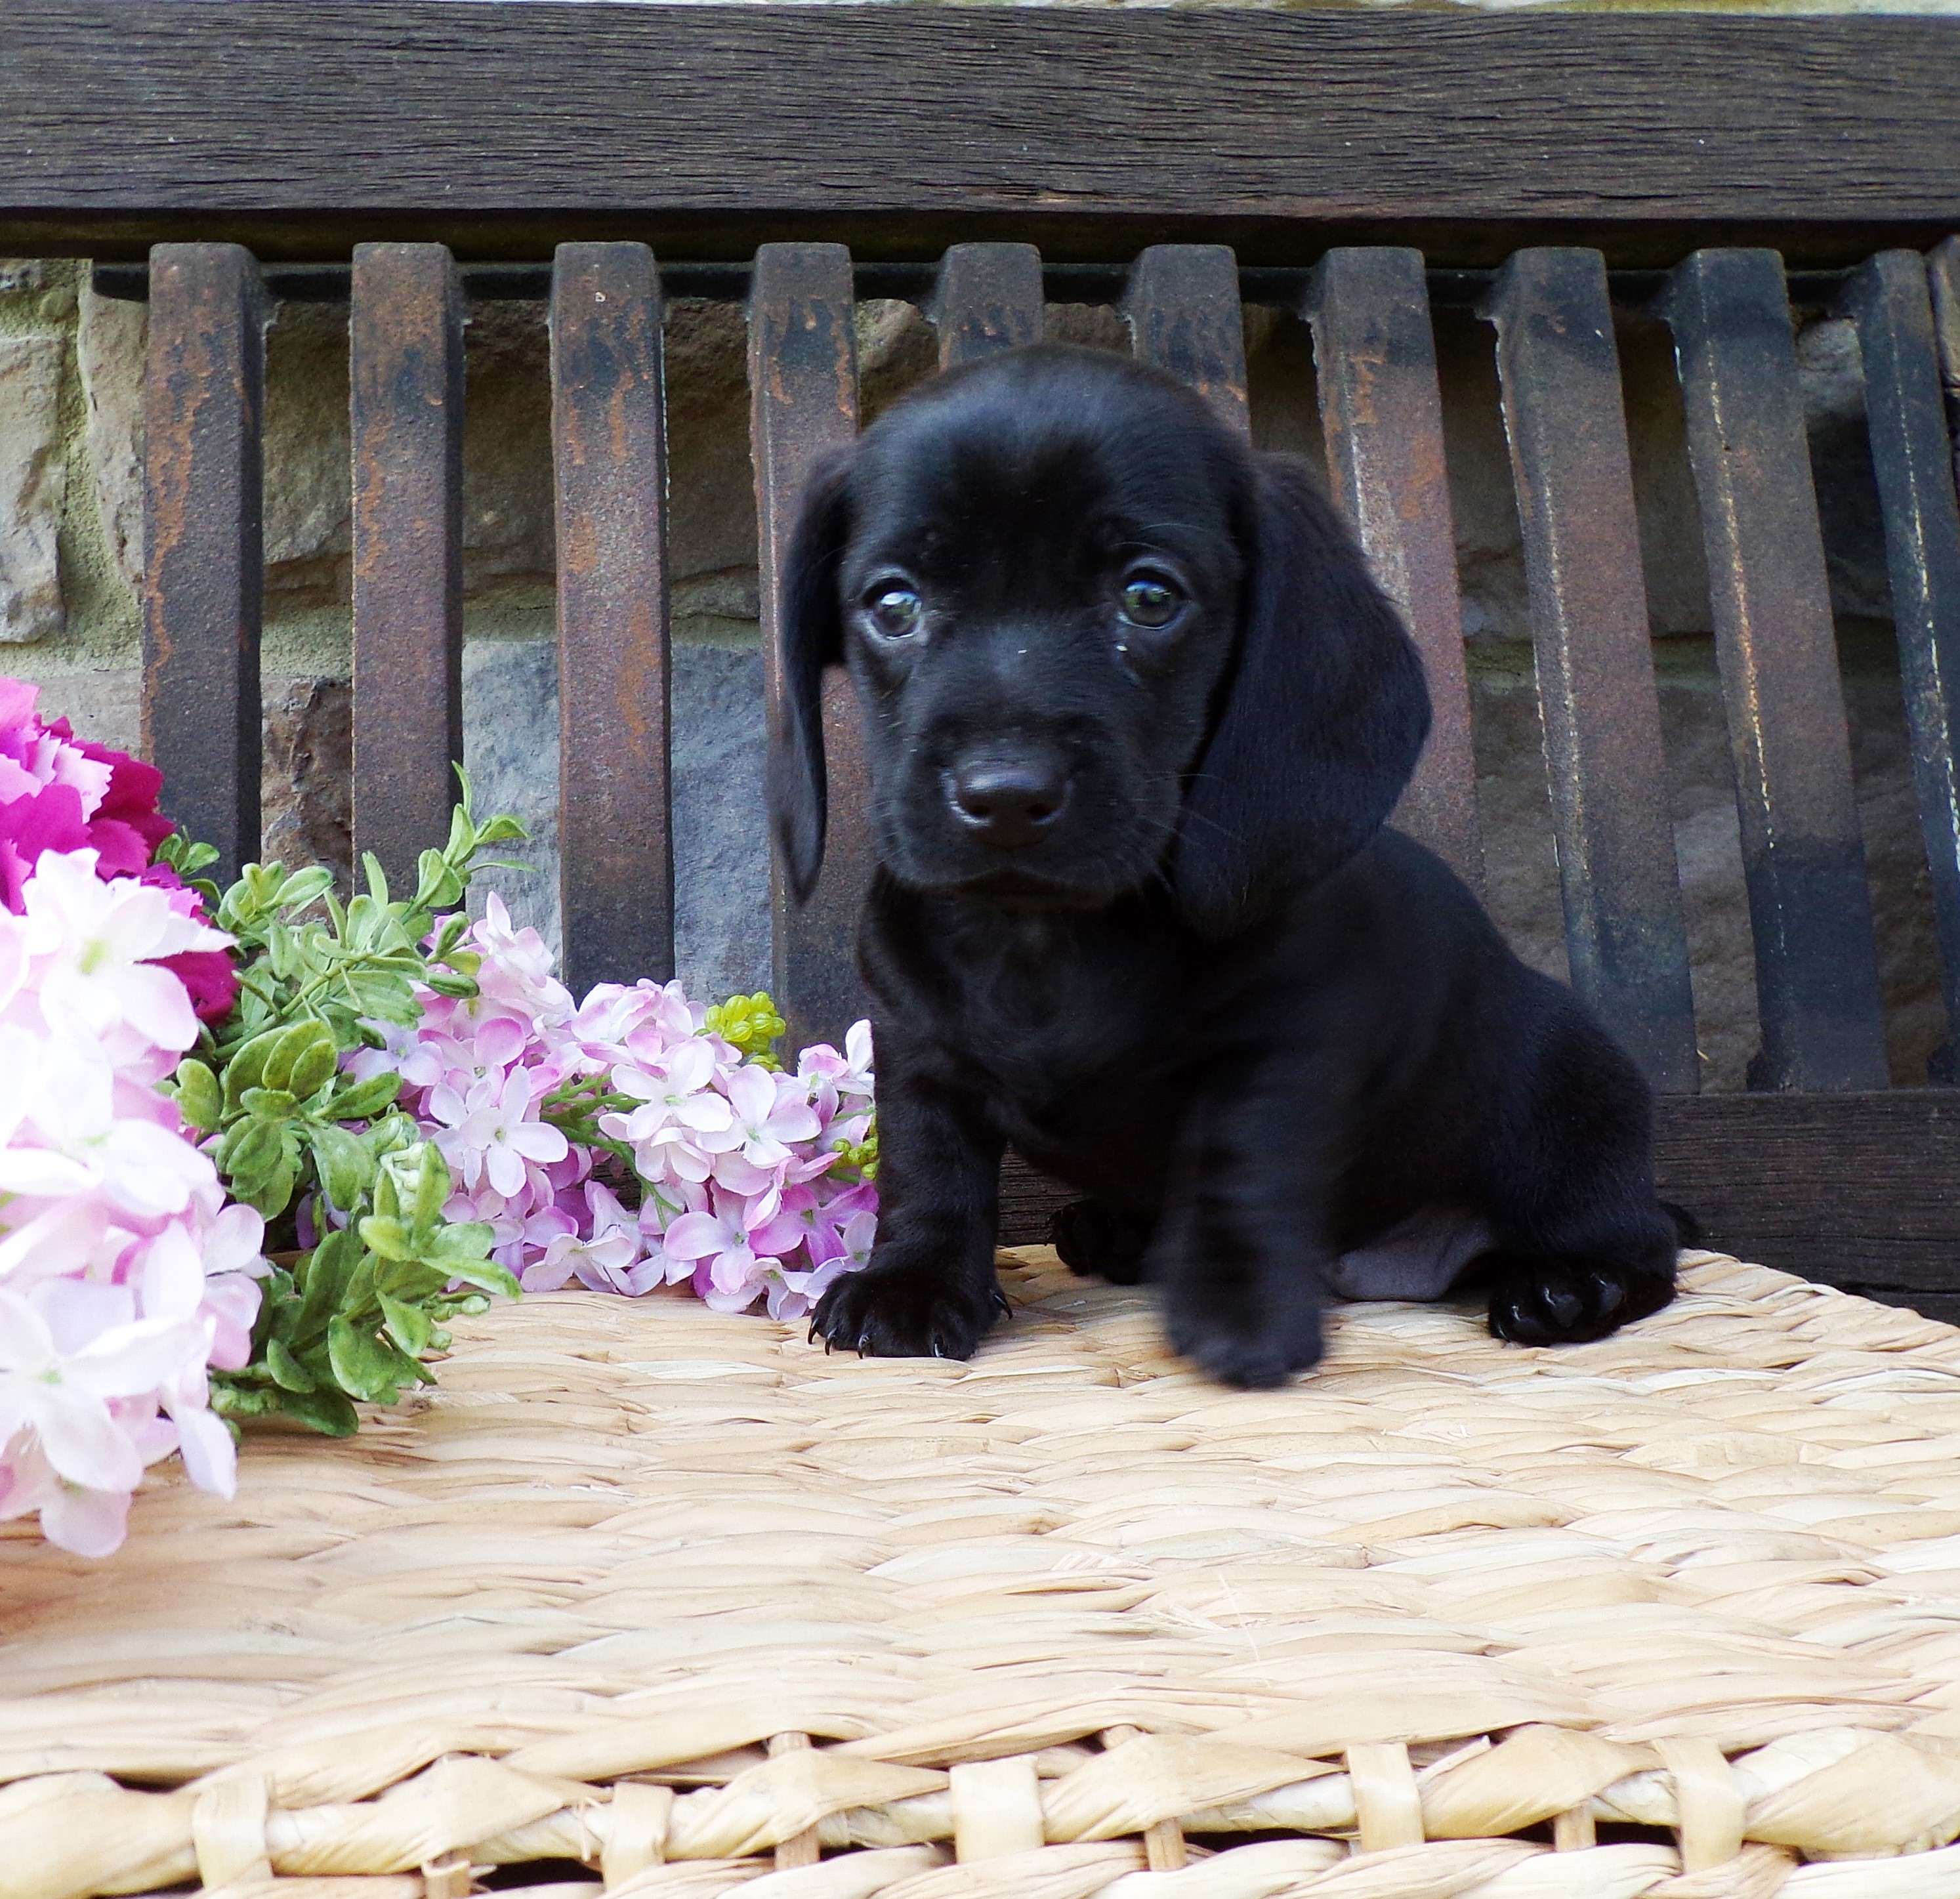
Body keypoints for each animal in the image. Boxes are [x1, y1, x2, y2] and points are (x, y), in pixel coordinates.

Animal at [772, 341, 1677, 1387]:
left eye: (1148, 597)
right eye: (893, 603)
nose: (1003, 793)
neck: (1047, 940)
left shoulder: (1275, 1050)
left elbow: (1240, 1171)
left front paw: (1239, 1311)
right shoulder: (919, 1050)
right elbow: (929, 1170)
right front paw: (913, 1283)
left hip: (1567, 1101)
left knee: (1644, 1240)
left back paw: (1568, 1287)